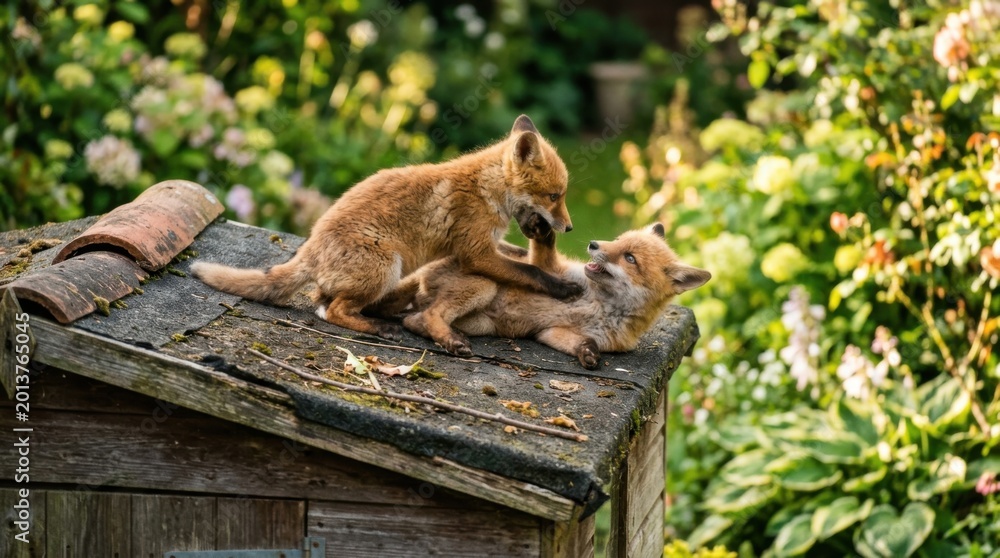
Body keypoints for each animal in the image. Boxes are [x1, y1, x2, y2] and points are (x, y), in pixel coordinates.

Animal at [191, 115, 581, 339]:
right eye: (554, 195)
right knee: (333, 311)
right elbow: (529, 273)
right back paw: (376, 327)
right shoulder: (475, 253)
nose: (569, 228)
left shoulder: (487, 245)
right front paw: (562, 287)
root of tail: (311, 249)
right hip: (386, 266)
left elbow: (517, 257)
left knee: (323, 303)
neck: (487, 190)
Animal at [383, 219, 712, 369]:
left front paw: (588, 354)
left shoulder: (552, 331)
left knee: (415, 320)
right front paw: (544, 228)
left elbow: (586, 342)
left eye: (630, 258)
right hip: (484, 287)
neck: (598, 303)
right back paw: (450, 341)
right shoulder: (550, 269)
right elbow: (543, 254)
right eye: (617, 241)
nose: (593, 244)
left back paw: (447, 337)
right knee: (429, 314)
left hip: (481, 323)